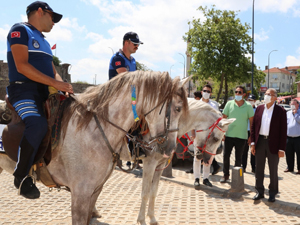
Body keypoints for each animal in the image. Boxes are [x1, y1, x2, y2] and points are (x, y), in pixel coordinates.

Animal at [0, 71, 188, 225]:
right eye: (177, 108)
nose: (170, 149)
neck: (93, 129)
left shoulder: (95, 190)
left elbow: (152, 192)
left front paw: (151, 218)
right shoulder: (80, 194)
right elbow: (146, 192)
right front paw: (143, 219)